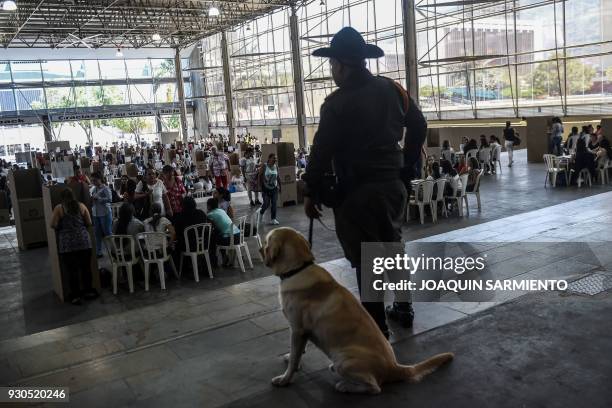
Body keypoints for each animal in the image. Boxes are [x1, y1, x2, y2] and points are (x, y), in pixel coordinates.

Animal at [262, 228, 454, 394]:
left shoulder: (297, 330)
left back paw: (344, 386)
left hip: (343, 359)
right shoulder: (301, 332)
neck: (298, 269)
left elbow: (293, 362)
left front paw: (284, 379)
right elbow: (297, 353)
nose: (259, 248)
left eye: (265, 241)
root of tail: (394, 367)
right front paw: (292, 357)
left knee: (374, 387)